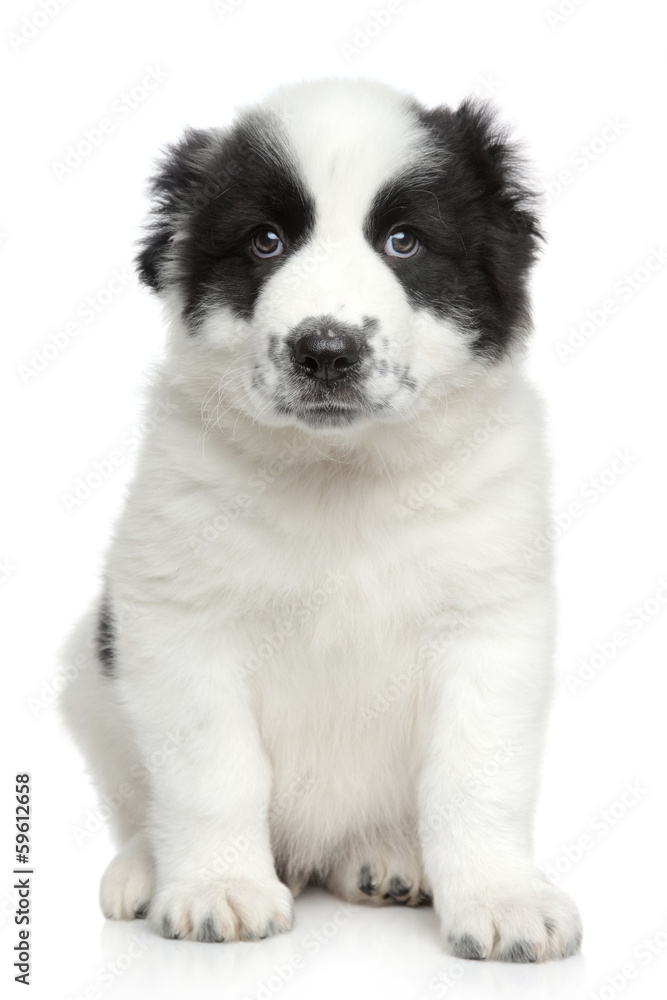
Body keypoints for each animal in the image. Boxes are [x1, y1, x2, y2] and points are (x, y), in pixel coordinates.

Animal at [61, 80, 584, 960]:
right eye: (264, 242)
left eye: (404, 242)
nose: (326, 351)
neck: (340, 474)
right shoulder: (179, 619)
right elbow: (213, 771)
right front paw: (219, 888)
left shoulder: (490, 620)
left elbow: (477, 775)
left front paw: (503, 899)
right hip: (89, 672)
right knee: (139, 800)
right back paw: (143, 867)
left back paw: (384, 858)